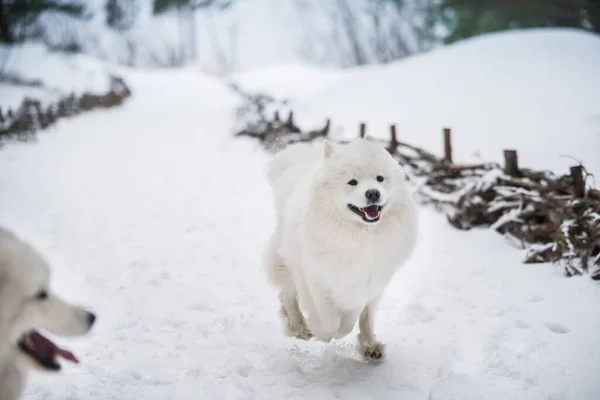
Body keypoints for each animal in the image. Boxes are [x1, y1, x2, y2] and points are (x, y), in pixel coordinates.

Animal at [264, 138, 420, 362]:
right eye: (352, 182)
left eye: (380, 179)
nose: (373, 193)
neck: (357, 236)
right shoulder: (316, 279)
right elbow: (328, 321)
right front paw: (319, 331)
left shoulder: (364, 284)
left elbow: (350, 321)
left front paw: (344, 333)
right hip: (287, 260)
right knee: (287, 294)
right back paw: (299, 327)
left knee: (366, 319)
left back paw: (371, 347)